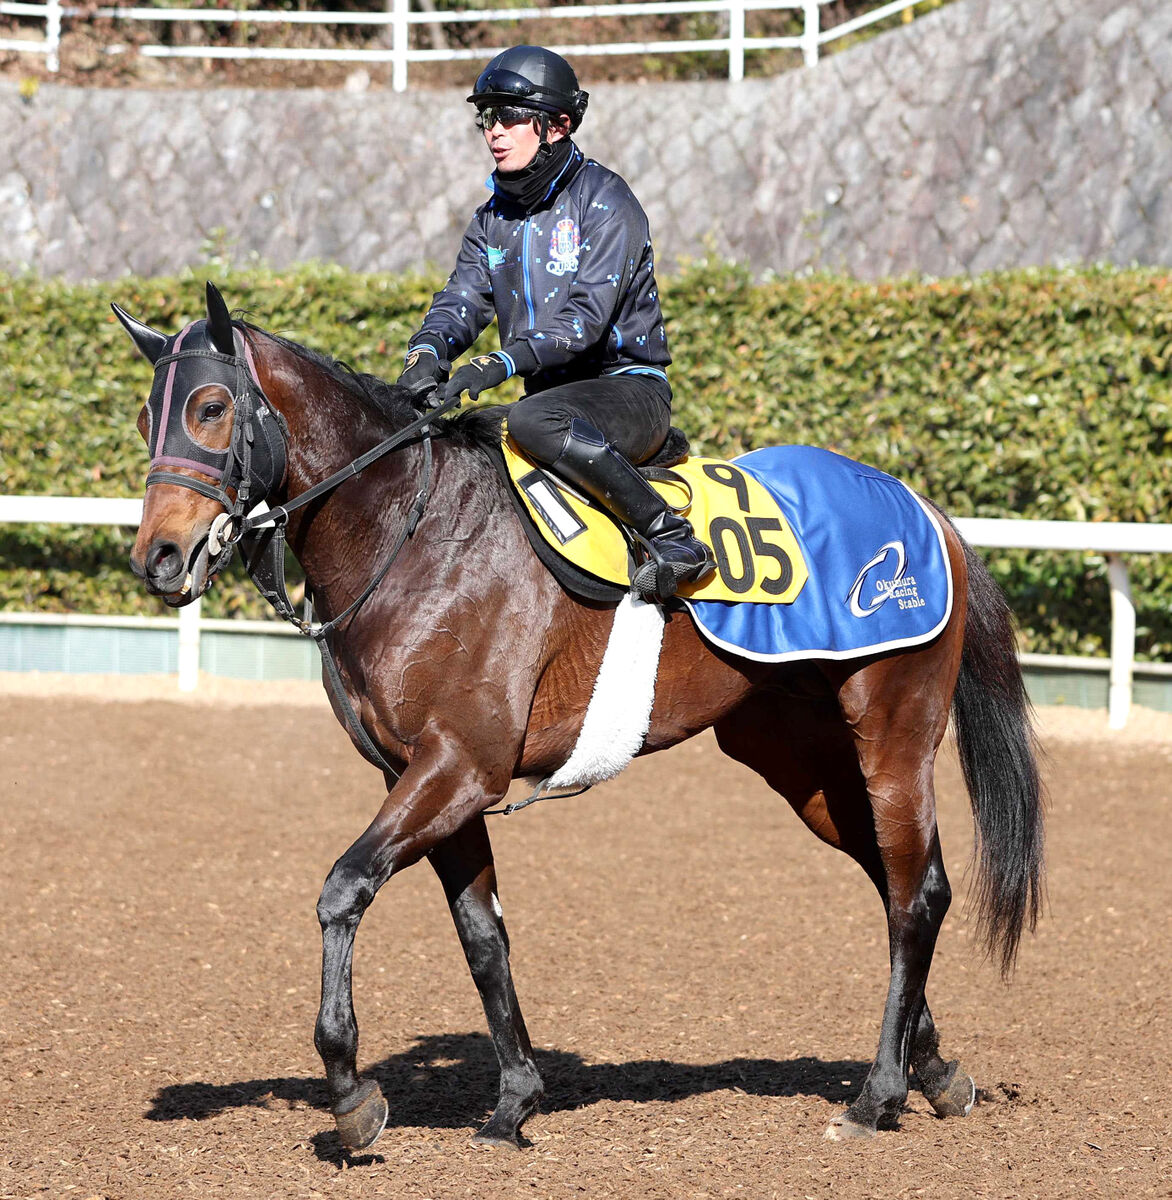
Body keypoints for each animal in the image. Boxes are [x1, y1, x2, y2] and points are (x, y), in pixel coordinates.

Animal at [112, 283, 1041, 1152]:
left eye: (210, 407)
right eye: (144, 415)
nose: (159, 558)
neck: (415, 533)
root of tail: (925, 511)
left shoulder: (458, 766)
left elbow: (344, 890)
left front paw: (350, 1093)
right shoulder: (431, 779)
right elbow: (482, 935)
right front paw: (514, 1099)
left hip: (894, 733)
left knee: (917, 894)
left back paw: (877, 1096)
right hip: (800, 758)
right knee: (896, 882)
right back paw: (934, 1071)